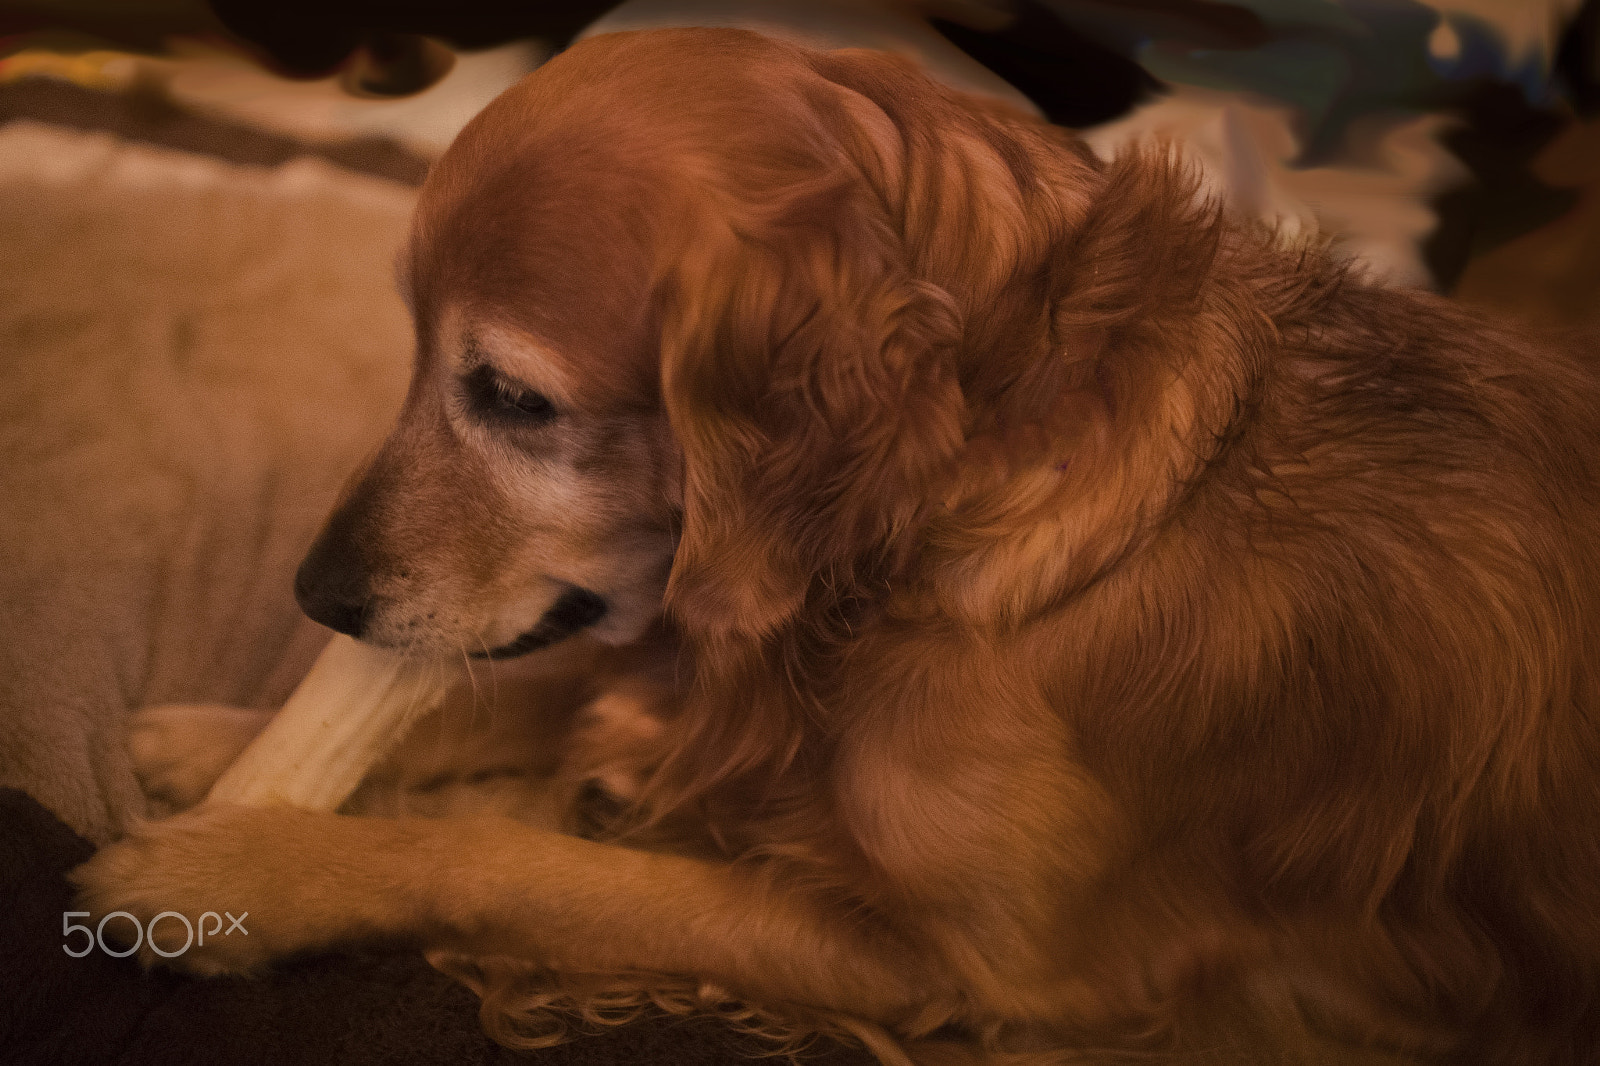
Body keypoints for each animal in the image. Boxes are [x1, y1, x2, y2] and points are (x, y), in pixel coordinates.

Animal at [72, 24, 1600, 1062]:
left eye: (510, 395)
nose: (314, 594)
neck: (974, 507)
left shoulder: (961, 965)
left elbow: (516, 862)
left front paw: (236, 873)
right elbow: (525, 695)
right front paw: (218, 747)